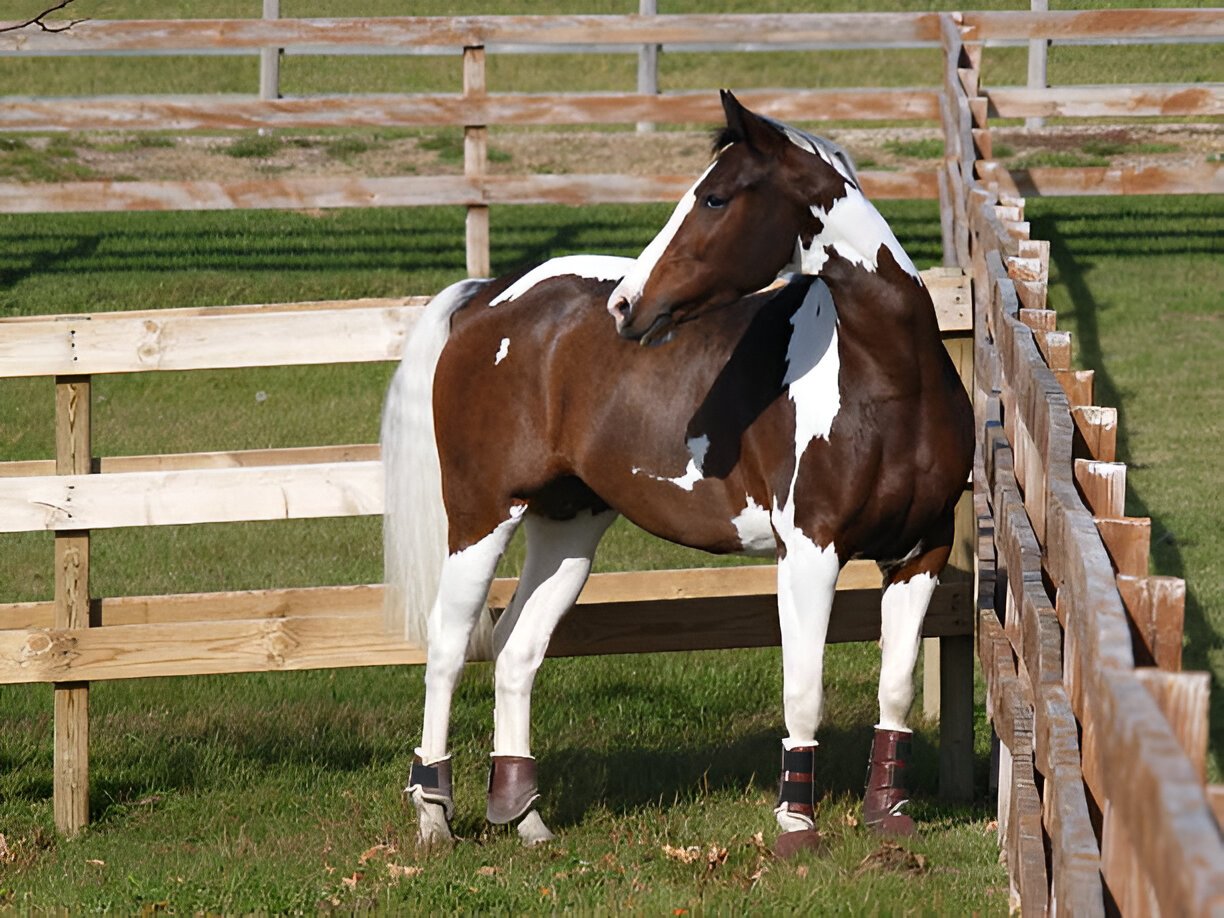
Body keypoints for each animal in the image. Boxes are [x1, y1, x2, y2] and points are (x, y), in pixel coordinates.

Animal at [381, 90, 974, 852]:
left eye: (716, 198)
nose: (626, 305)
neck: (893, 381)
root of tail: (488, 295)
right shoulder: (809, 555)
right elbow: (803, 690)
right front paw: (796, 826)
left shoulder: (921, 551)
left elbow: (895, 687)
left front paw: (889, 819)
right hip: (482, 514)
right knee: (450, 644)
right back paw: (433, 813)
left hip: (568, 527)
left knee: (517, 647)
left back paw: (526, 817)